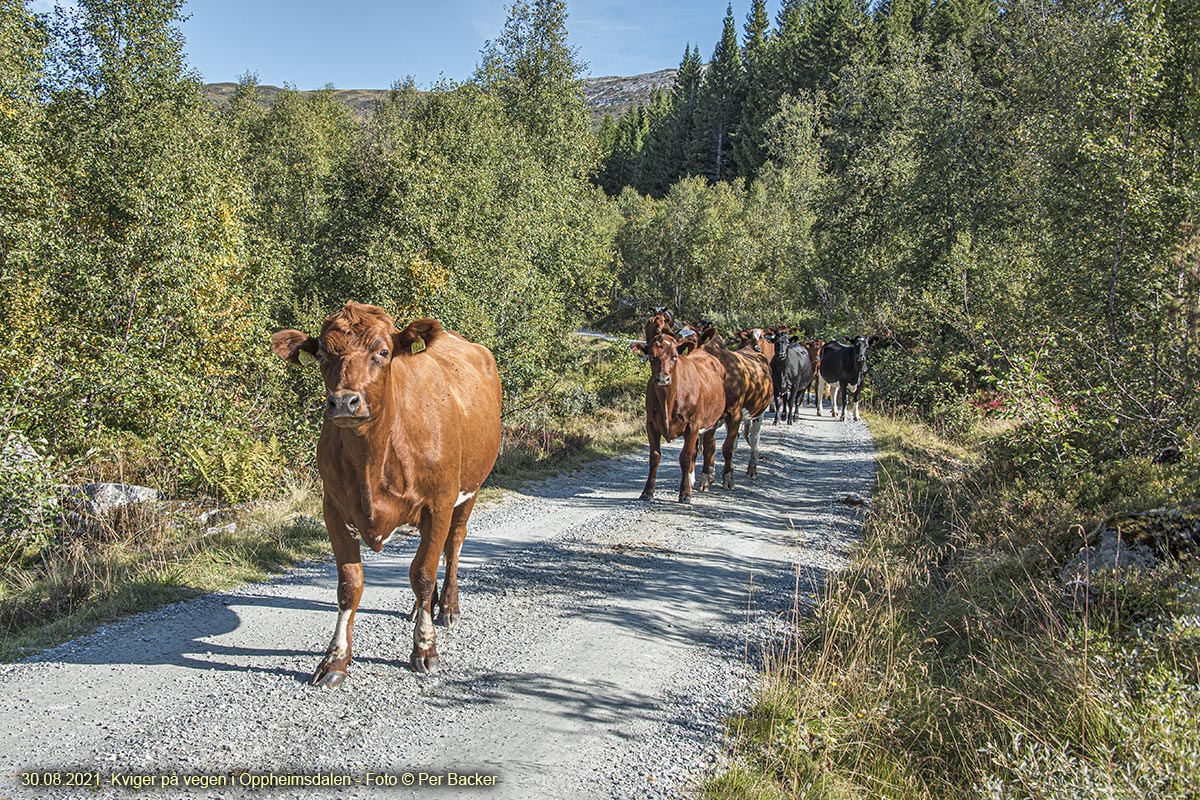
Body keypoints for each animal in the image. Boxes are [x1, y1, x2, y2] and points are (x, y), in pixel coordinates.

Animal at [270, 302, 499, 690]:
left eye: (383, 352)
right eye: (322, 355)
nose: (344, 401)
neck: (373, 459)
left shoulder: (439, 504)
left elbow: (422, 574)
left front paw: (425, 649)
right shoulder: (333, 509)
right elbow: (350, 585)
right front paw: (335, 660)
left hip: (471, 487)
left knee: (453, 543)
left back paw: (448, 607)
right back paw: (421, 607)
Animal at [633, 331, 724, 501]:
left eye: (674, 356)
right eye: (651, 356)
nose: (663, 378)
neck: (668, 401)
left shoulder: (693, 425)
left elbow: (685, 457)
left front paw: (685, 493)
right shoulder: (651, 424)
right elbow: (654, 456)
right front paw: (648, 491)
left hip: (711, 423)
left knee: (709, 447)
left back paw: (705, 481)